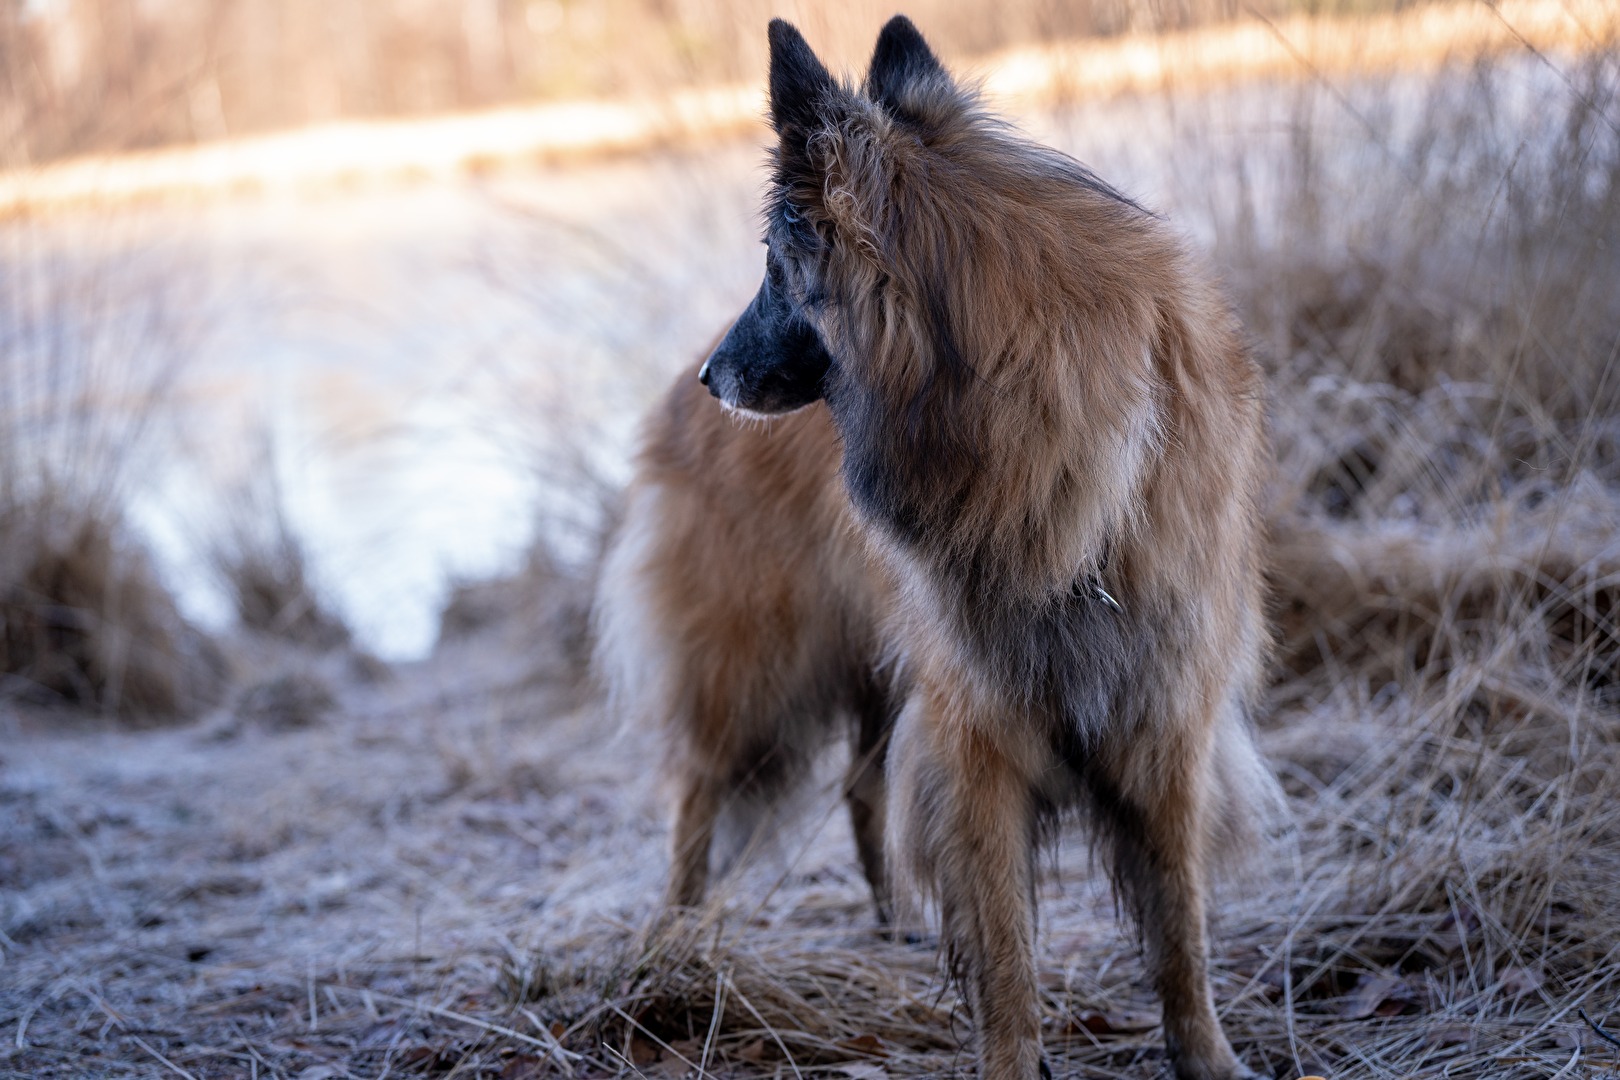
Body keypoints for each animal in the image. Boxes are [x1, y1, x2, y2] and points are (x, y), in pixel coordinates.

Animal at [596, 16, 1276, 1080]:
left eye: (773, 262)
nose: (715, 377)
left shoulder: (1163, 716)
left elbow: (1180, 927)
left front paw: (1206, 1057)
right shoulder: (976, 737)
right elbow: (1004, 947)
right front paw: (1012, 1061)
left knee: (858, 788)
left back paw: (891, 922)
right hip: (756, 673)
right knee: (696, 800)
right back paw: (672, 948)